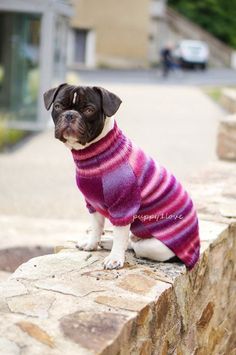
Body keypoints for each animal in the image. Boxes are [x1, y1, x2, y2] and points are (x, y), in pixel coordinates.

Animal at [43, 85, 199, 272]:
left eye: (89, 110)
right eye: (58, 106)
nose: (70, 114)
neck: (95, 152)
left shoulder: (124, 206)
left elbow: (120, 233)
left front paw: (115, 258)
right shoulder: (93, 203)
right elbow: (96, 226)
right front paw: (91, 244)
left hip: (155, 247)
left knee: (134, 244)